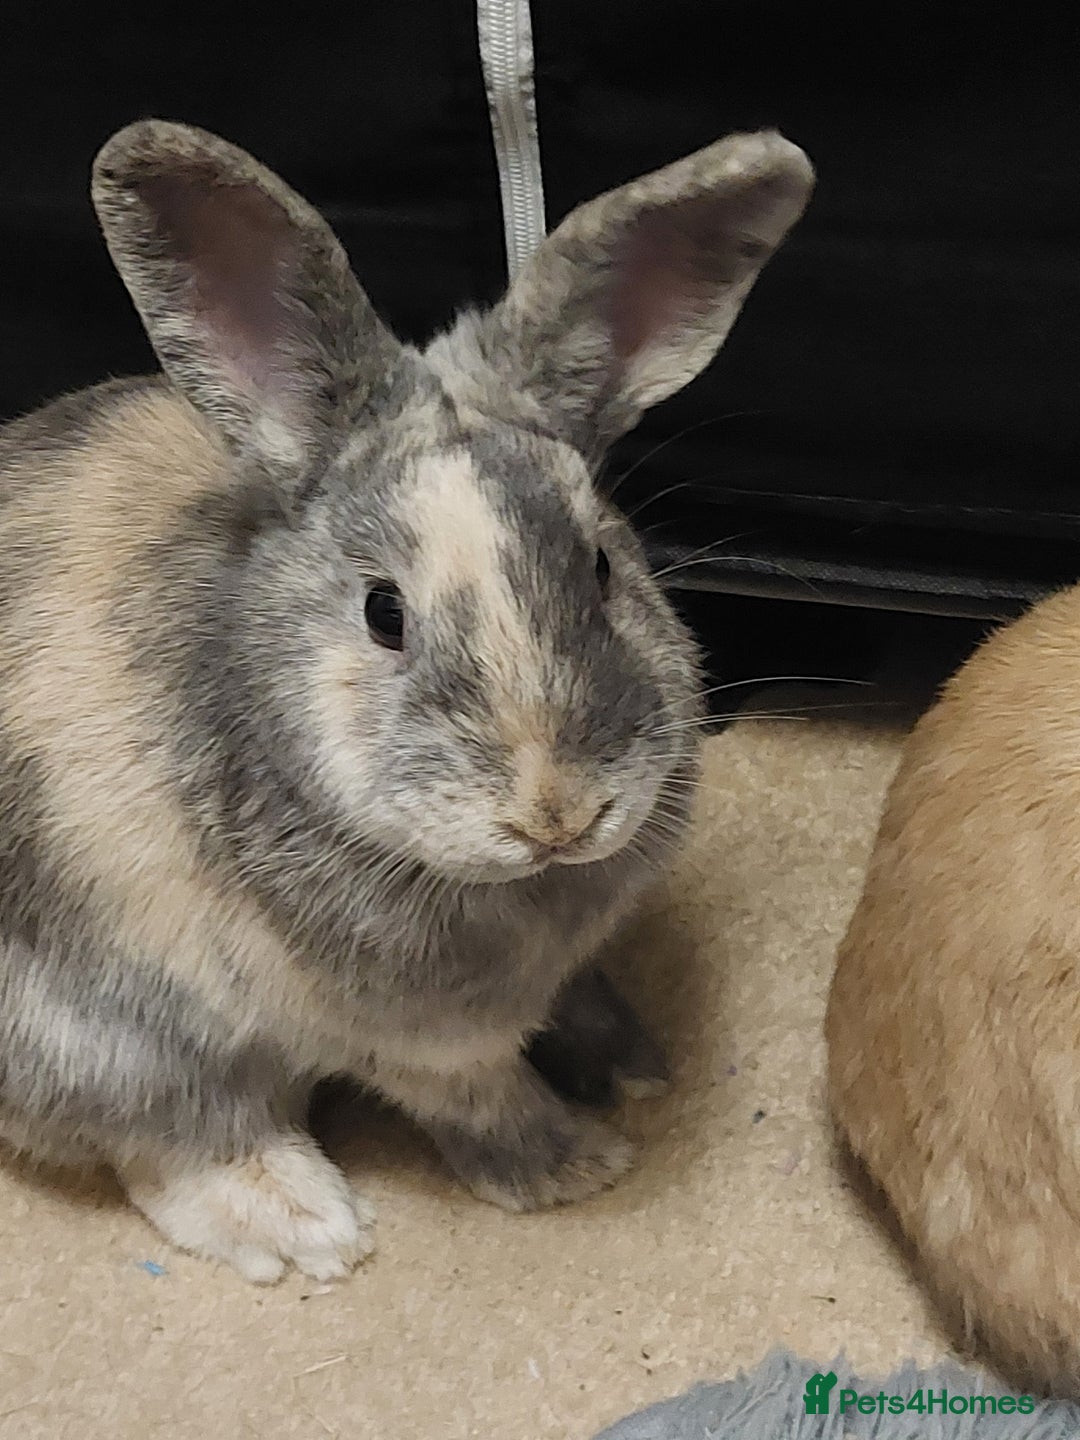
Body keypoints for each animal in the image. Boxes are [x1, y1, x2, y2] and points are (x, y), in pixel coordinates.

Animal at [0, 119, 813, 1282]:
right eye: (383, 612)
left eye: (604, 566)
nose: (557, 811)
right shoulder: (417, 1039)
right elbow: (477, 1097)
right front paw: (572, 1166)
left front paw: (633, 1063)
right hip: (104, 1032)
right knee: (171, 1139)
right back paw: (302, 1224)